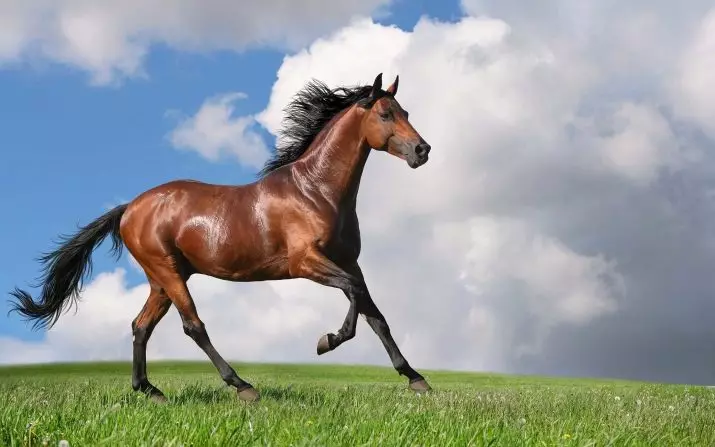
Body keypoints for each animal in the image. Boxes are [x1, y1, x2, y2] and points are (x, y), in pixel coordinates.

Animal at [8, 72, 434, 402]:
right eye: (385, 113)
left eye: (406, 112)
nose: (422, 150)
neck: (316, 191)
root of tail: (130, 208)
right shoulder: (306, 262)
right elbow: (355, 298)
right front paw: (326, 340)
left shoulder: (350, 262)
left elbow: (375, 314)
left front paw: (416, 379)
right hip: (168, 273)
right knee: (193, 325)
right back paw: (242, 386)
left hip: (162, 279)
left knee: (141, 326)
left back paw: (150, 390)